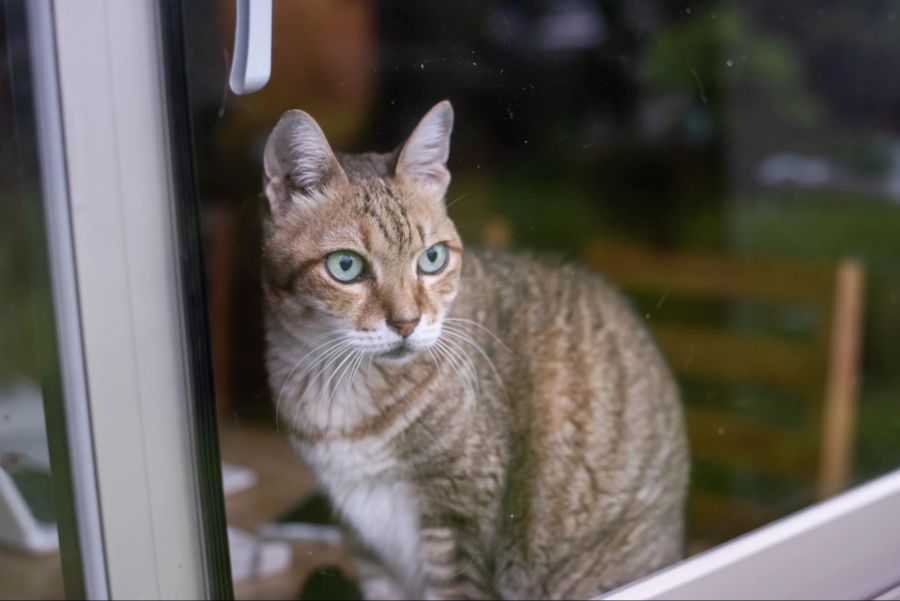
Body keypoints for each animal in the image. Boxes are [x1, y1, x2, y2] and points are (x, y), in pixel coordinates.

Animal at [260, 101, 688, 596]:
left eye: (432, 259)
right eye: (345, 266)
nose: (406, 323)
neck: (343, 387)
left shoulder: (460, 521)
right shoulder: (364, 541)